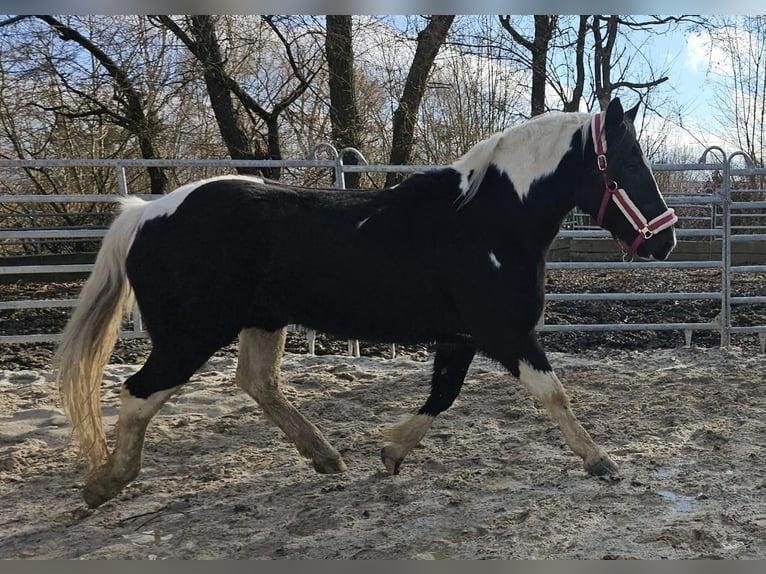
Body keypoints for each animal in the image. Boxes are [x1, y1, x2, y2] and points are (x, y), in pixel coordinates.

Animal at [55, 99, 680, 508]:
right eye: (628, 164)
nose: (666, 240)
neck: (487, 223)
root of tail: (145, 212)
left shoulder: (461, 337)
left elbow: (443, 396)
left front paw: (391, 452)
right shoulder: (504, 333)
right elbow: (553, 394)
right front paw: (602, 462)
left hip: (262, 321)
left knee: (257, 383)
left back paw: (327, 458)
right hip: (190, 335)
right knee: (138, 392)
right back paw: (105, 483)